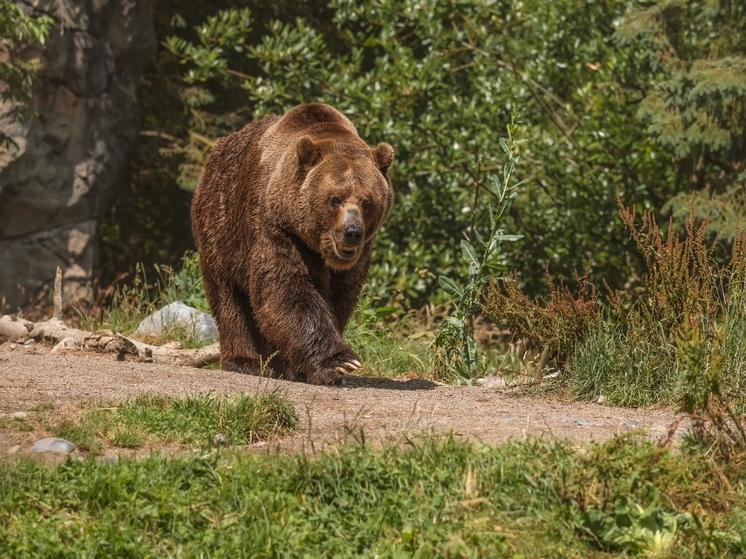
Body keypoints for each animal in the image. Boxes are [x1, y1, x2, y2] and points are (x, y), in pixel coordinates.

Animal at [190, 104, 396, 384]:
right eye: (334, 199)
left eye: (367, 201)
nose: (352, 232)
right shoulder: (279, 228)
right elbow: (288, 289)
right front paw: (339, 362)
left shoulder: (355, 259)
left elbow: (340, 297)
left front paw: (303, 367)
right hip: (221, 226)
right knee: (230, 297)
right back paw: (244, 361)